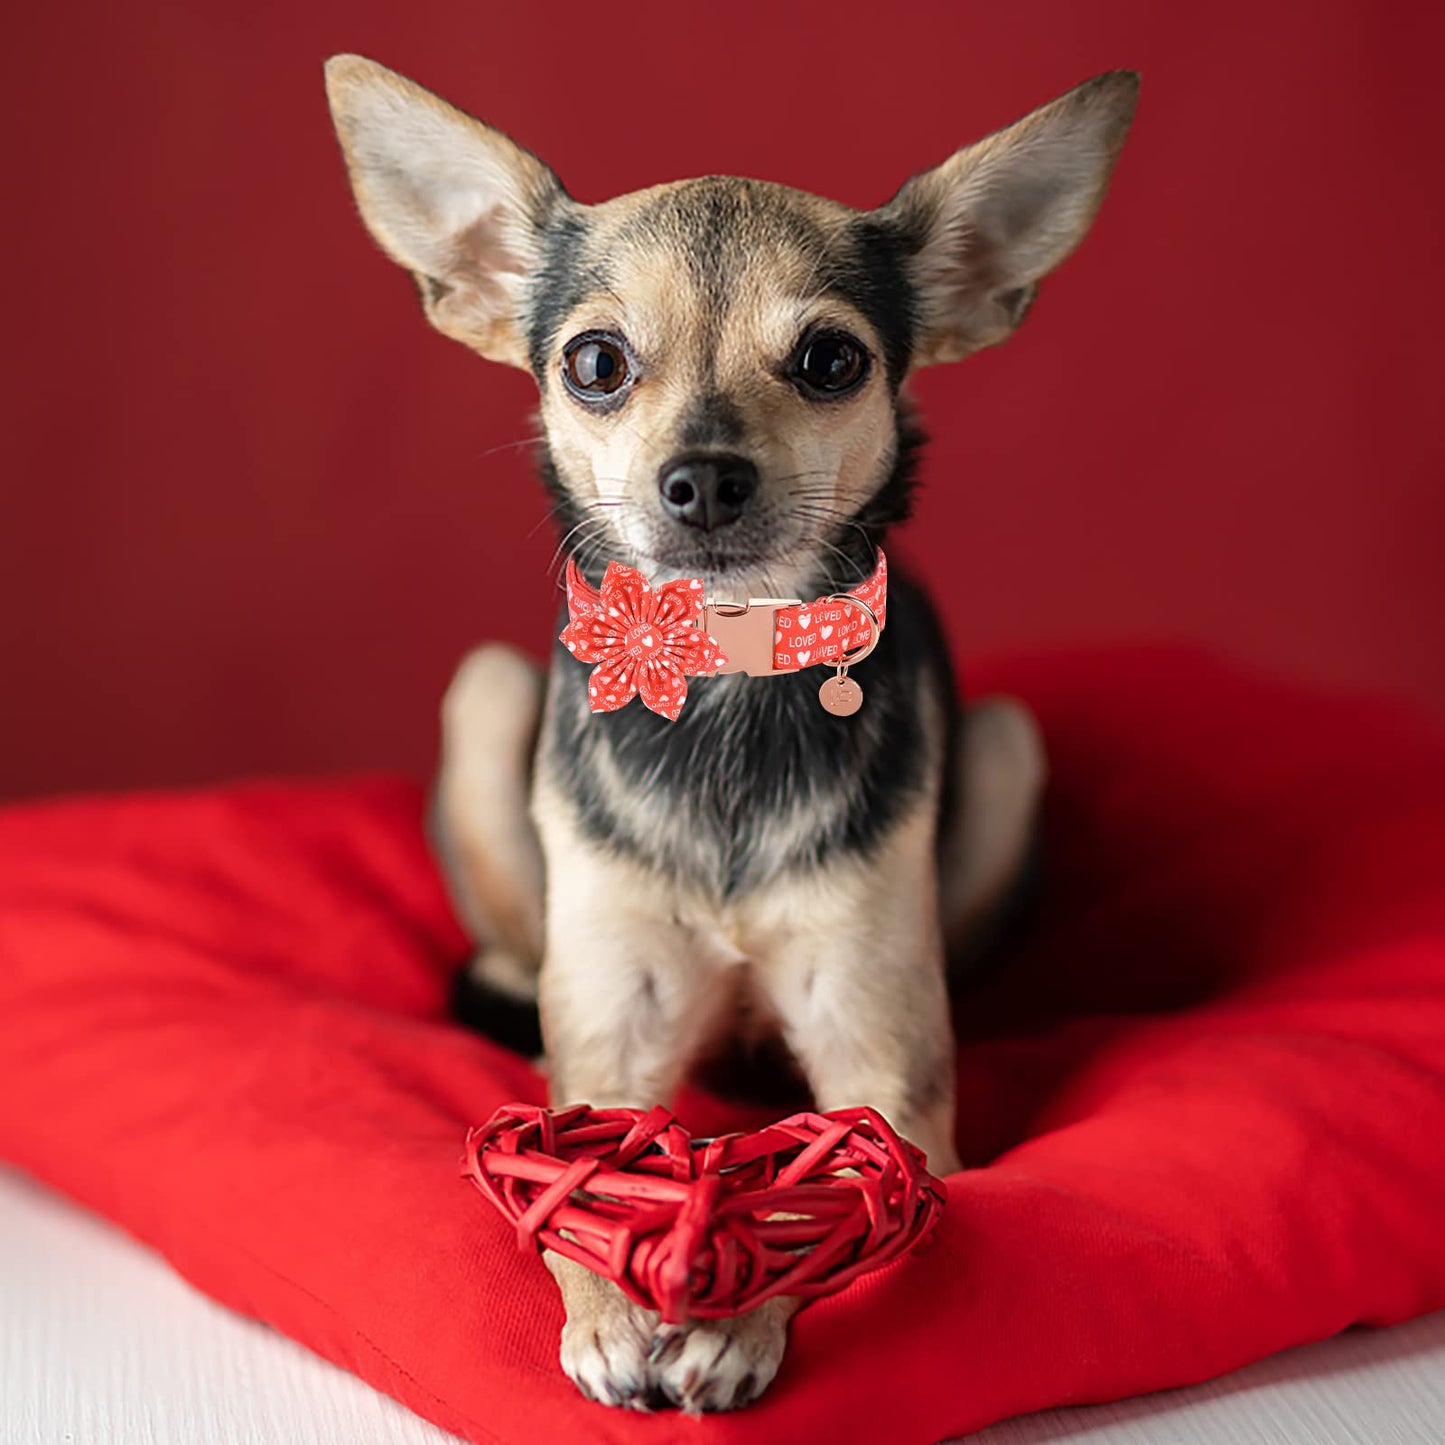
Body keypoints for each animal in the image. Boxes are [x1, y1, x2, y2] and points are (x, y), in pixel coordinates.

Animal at [328, 56, 1138, 1410]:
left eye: (829, 359)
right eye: (597, 362)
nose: (705, 476)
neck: (718, 672)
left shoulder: (889, 1077)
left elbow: (831, 1194)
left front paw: (732, 1313)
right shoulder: (606, 1047)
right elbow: (583, 1173)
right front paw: (616, 1307)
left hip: (1008, 746)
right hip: (485, 696)